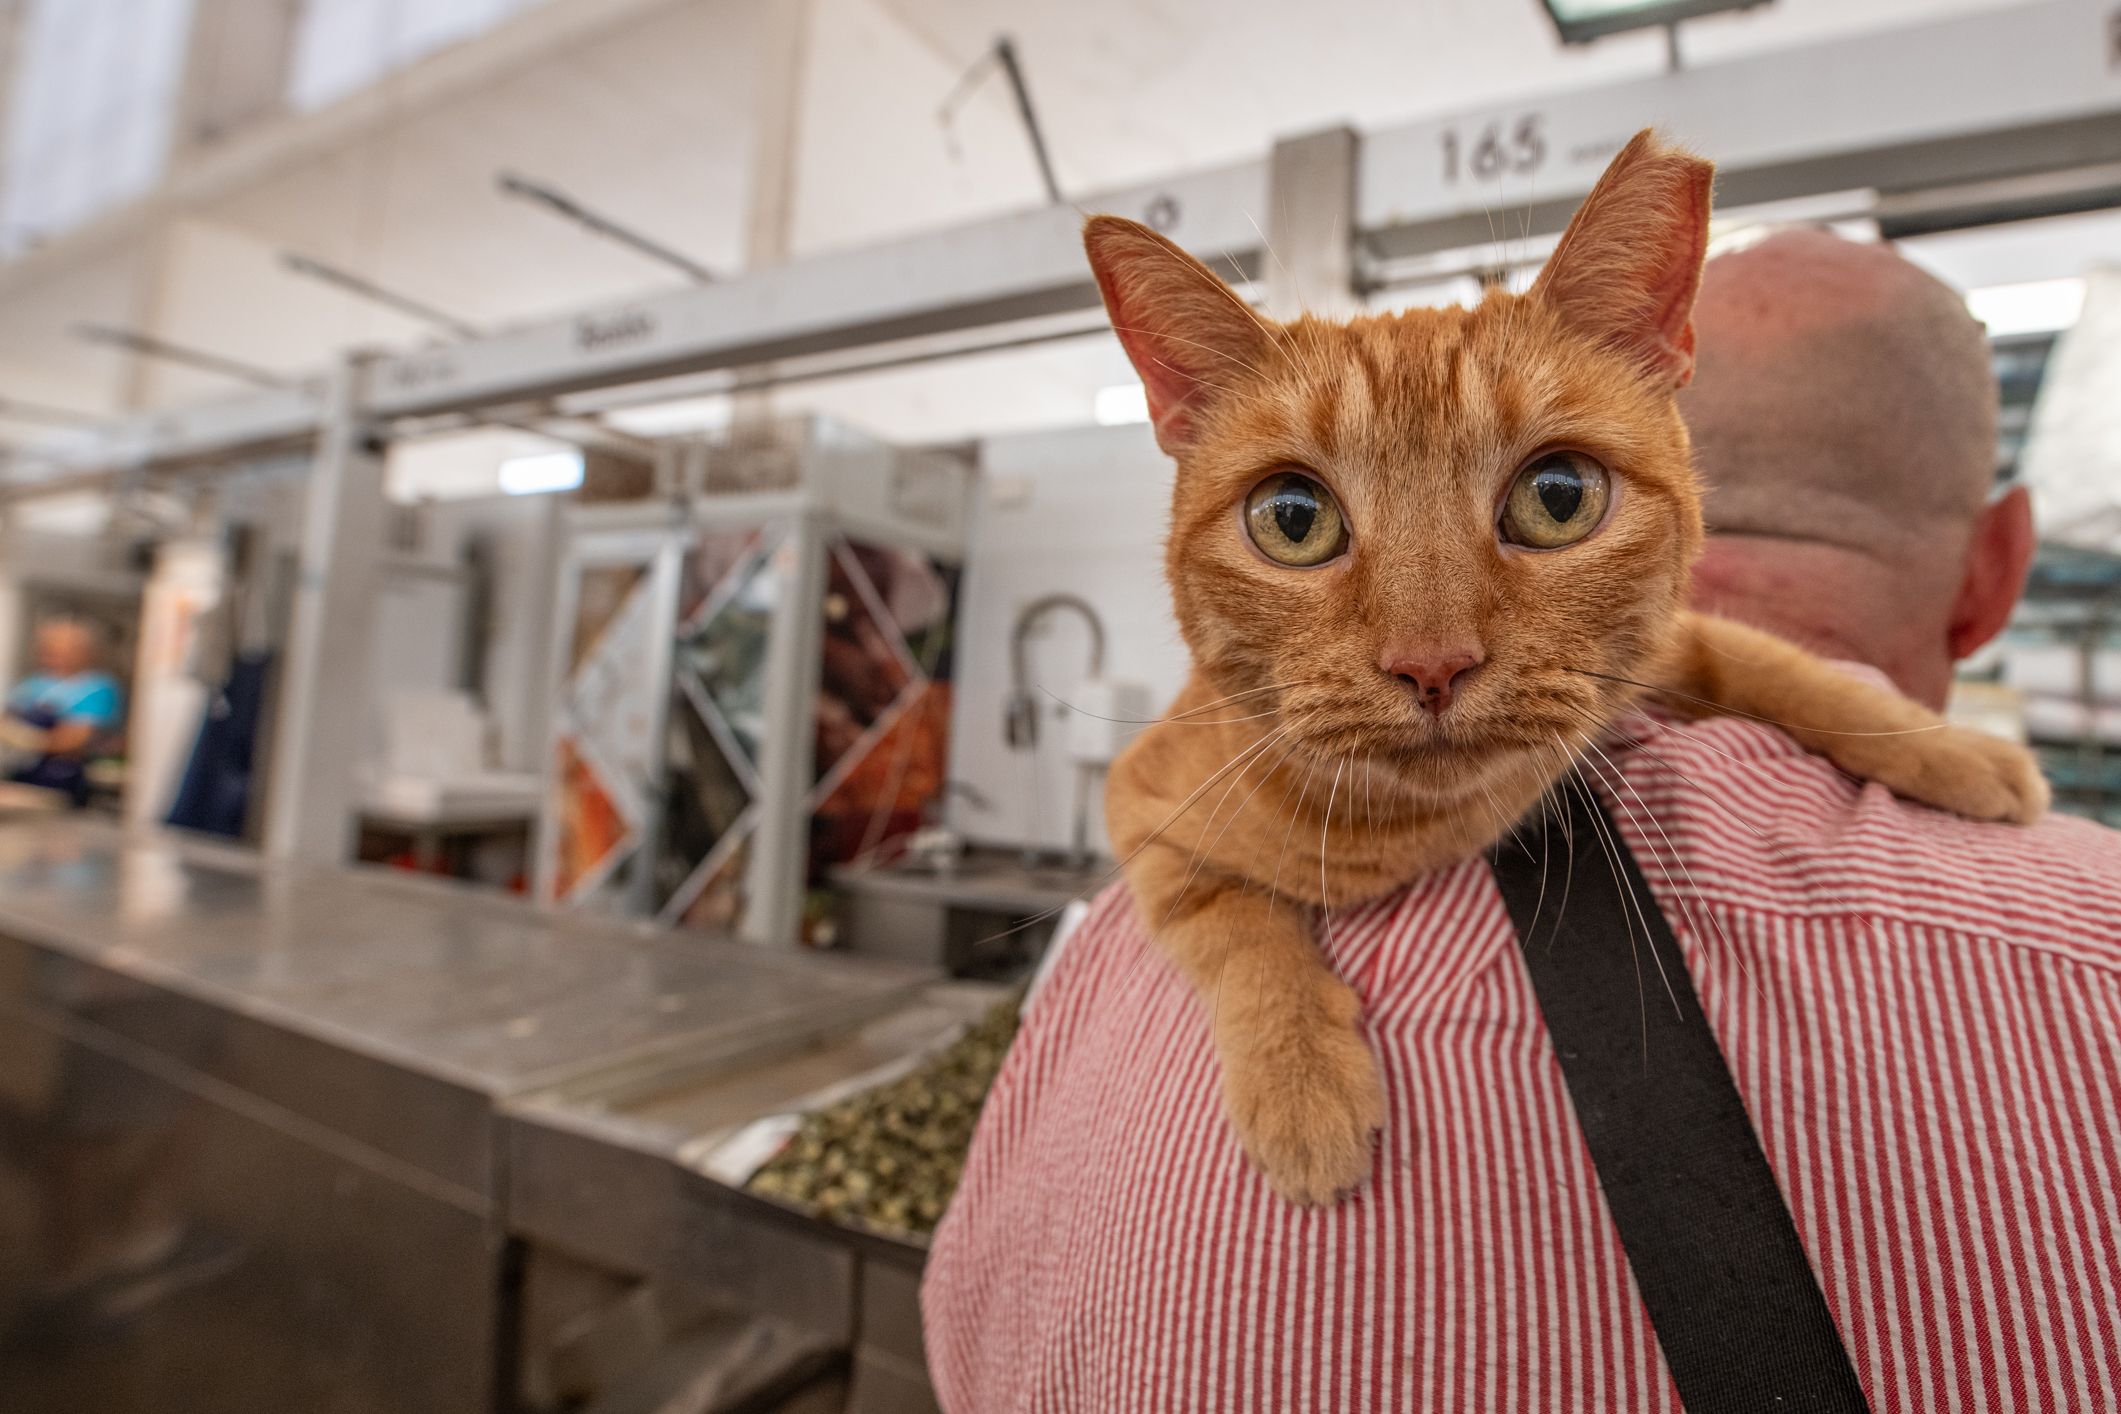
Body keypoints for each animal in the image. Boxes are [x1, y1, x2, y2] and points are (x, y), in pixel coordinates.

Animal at [1085, 129, 2044, 1204]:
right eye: (1291, 519)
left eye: (1558, 496)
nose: (1432, 664)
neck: (1426, 830)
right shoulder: (1141, 814)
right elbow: (1234, 925)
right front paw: (1299, 1082)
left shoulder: (1664, 648)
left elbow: (1768, 661)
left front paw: (1951, 748)